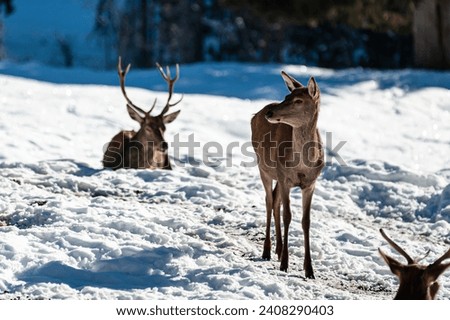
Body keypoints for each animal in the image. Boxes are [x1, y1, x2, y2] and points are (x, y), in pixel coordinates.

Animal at [251, 72, 326, 278]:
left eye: (299, 100)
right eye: (286, 96)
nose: (270, 113)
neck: (302, 164)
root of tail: (256, 114)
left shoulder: (310, 184)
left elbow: (306, 221)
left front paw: (309, 270)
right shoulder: (285, 179)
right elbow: (288, 215)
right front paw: (285, 263)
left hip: (277, 174)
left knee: (275, 200)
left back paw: (278, 249)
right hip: (264, 168)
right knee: (269, 201)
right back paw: (268, 251)